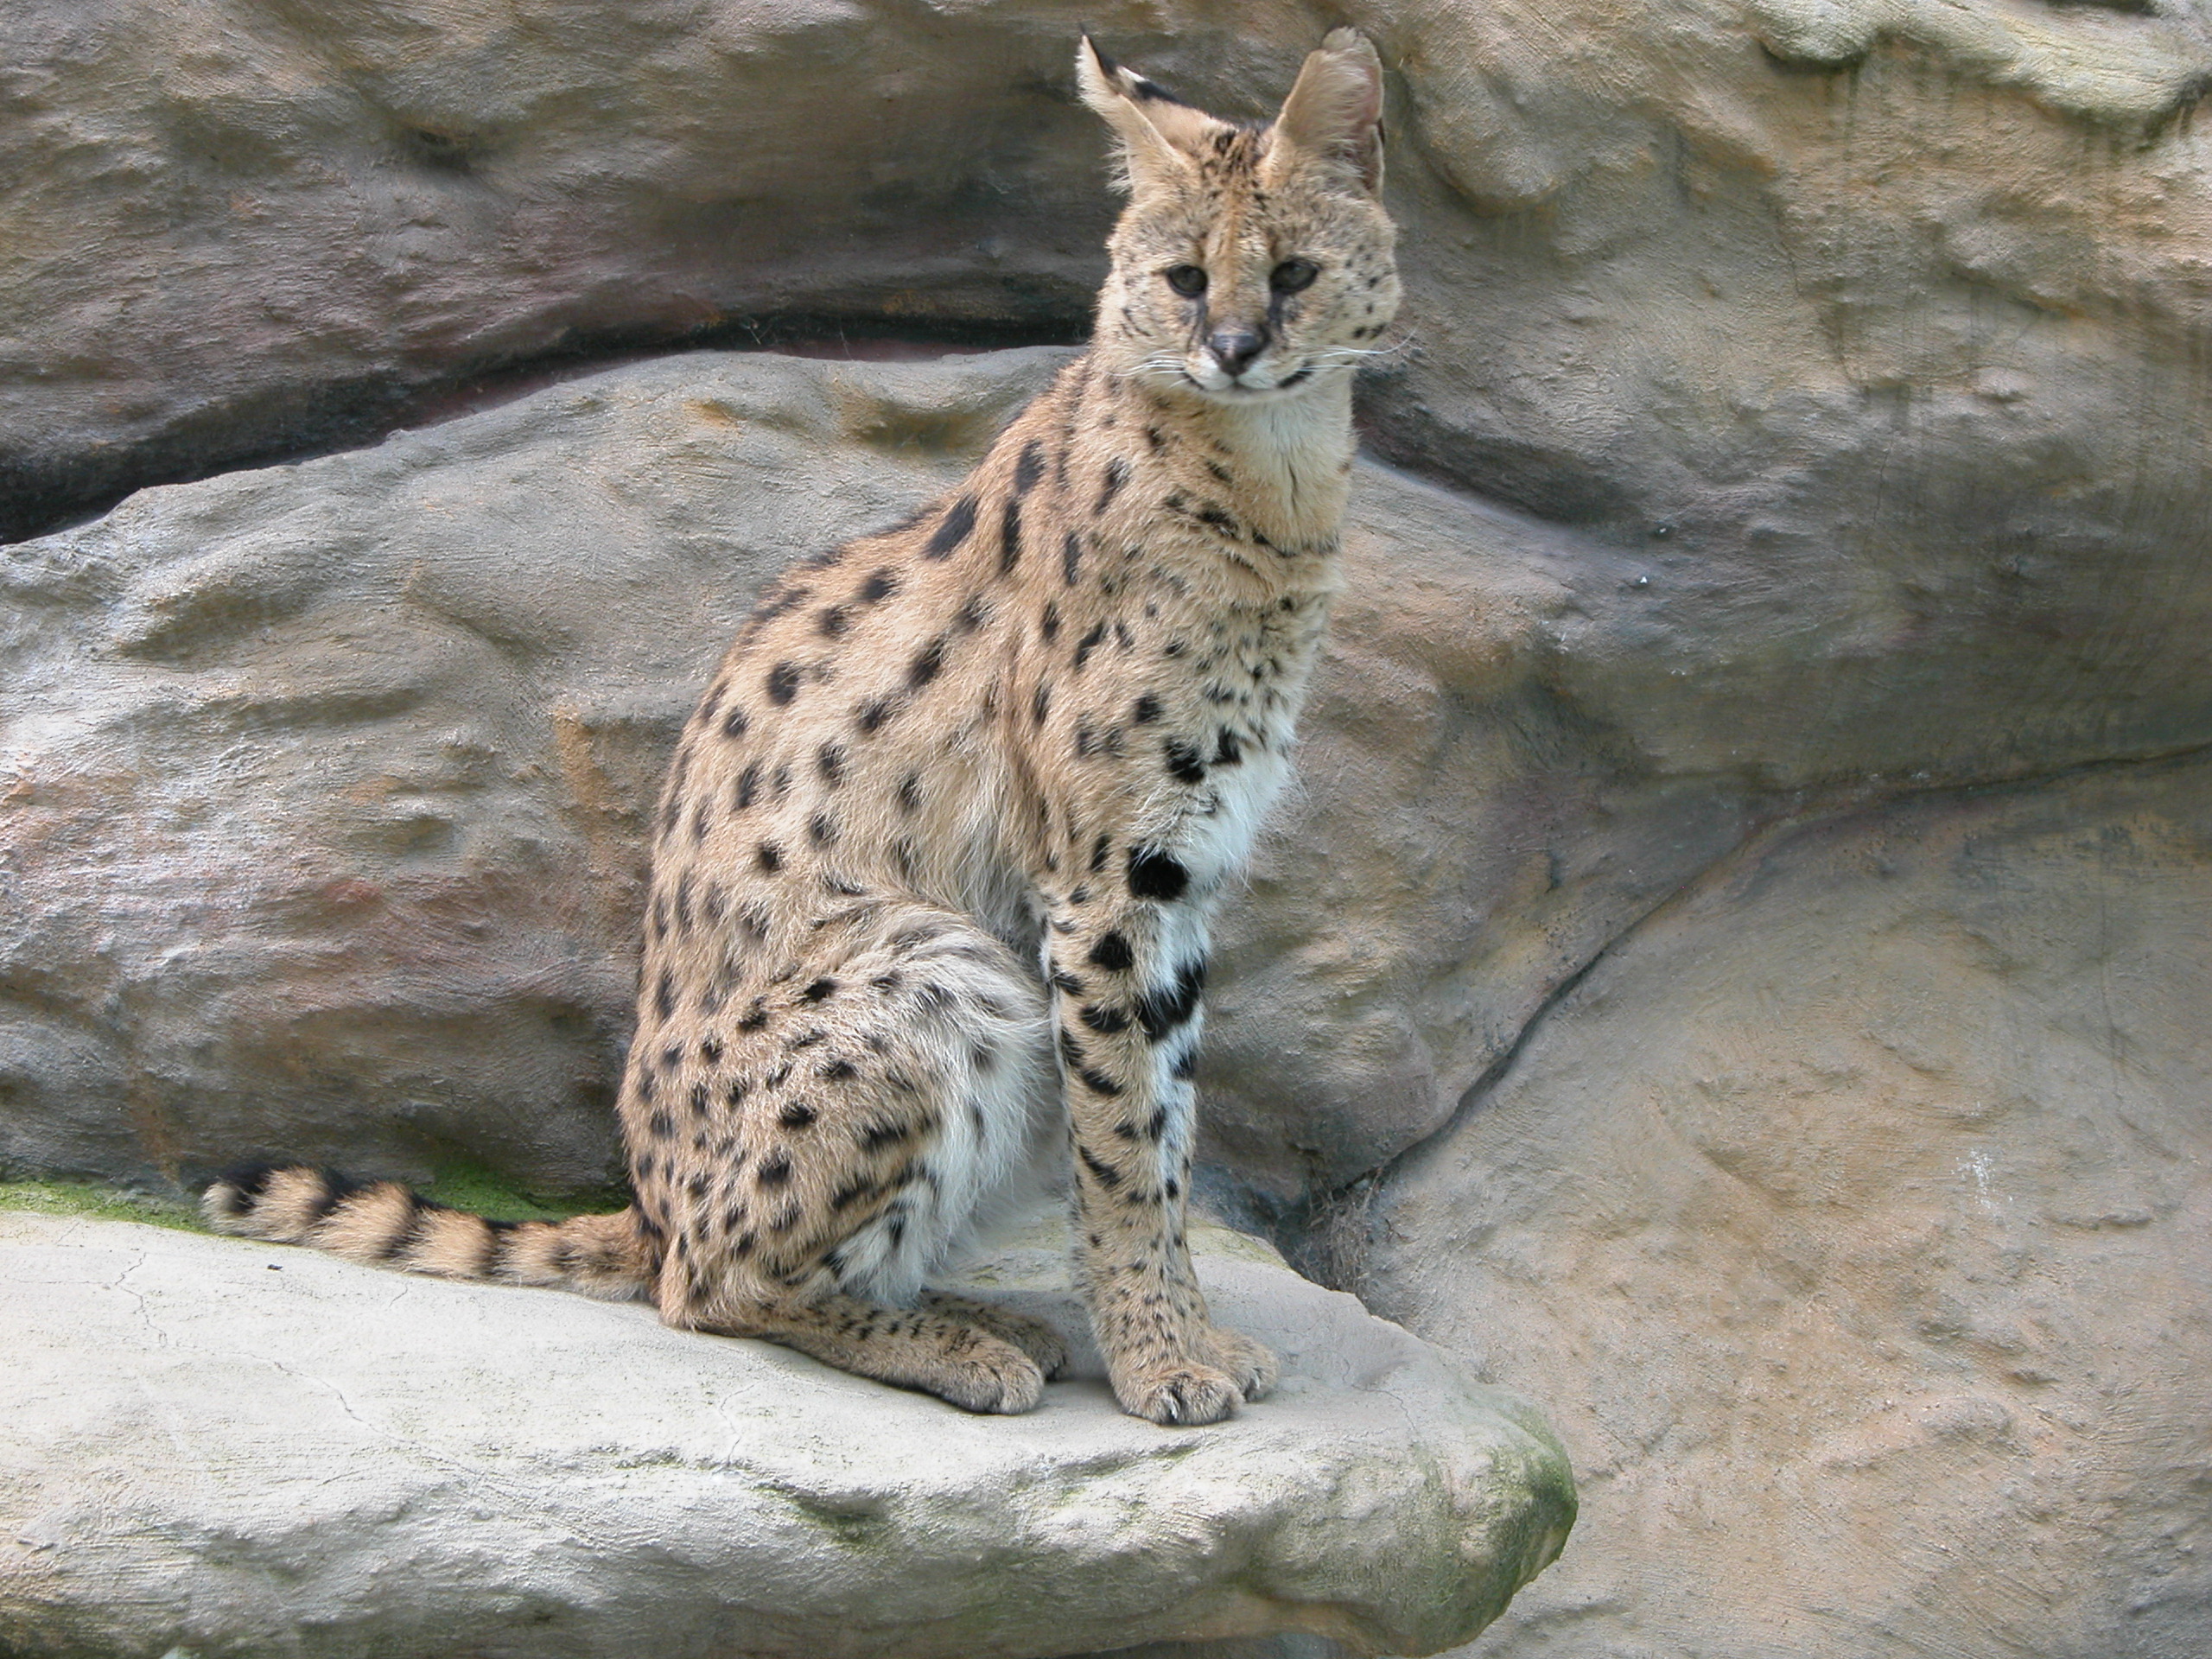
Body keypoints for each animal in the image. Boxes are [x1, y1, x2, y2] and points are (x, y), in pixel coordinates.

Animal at [206, 28, 1399, 1428]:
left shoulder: (1182, 873)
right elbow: (1126, 1145)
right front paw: (1161, 1358)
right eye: (1183, 279)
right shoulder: (1109, 878)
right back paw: (951, 1344)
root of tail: (639, 1207)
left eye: (1295, 273)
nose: (1233, 346)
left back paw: (979, 1313)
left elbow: (1168, 1125)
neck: (1270, 472)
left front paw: (1184, 1335)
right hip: (938, 970)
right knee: (707, 1286)